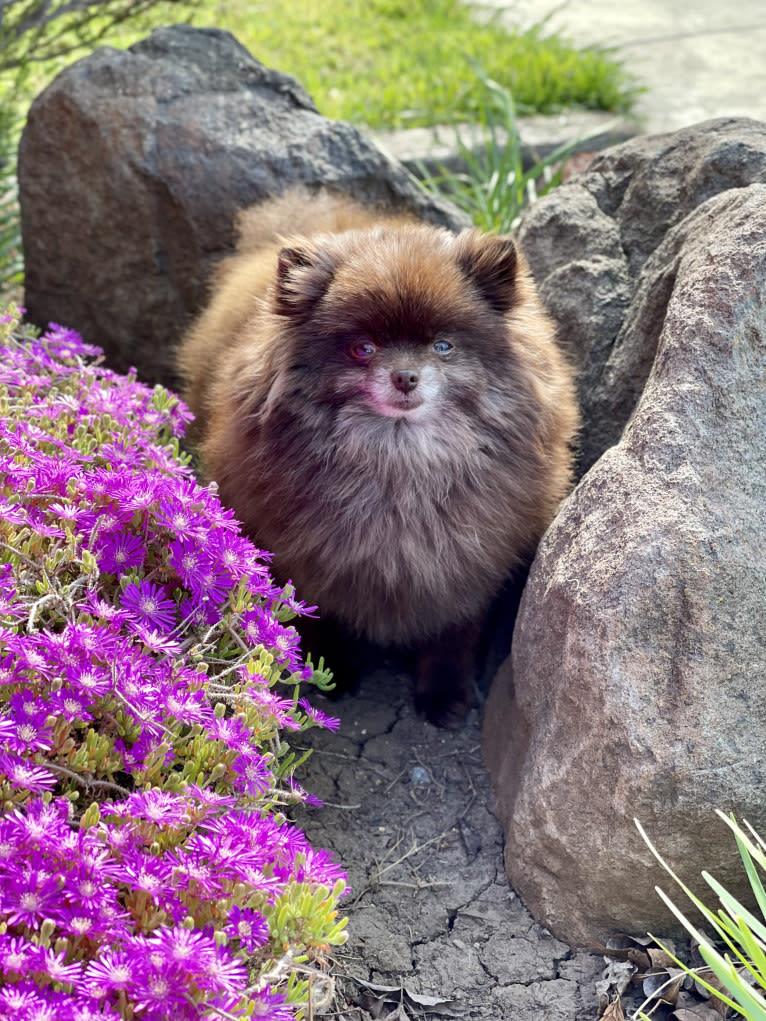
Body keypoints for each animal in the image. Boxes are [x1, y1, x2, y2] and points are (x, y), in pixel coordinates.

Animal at [176, 185, 580, 726]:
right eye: (362, 348)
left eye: (443, 346)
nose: (405, 376)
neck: (399, 467)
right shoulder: (308, 558)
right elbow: (316, 619)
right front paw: (326, 671)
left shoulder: (468, 563)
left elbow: (454, 635)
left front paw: (445, 694)